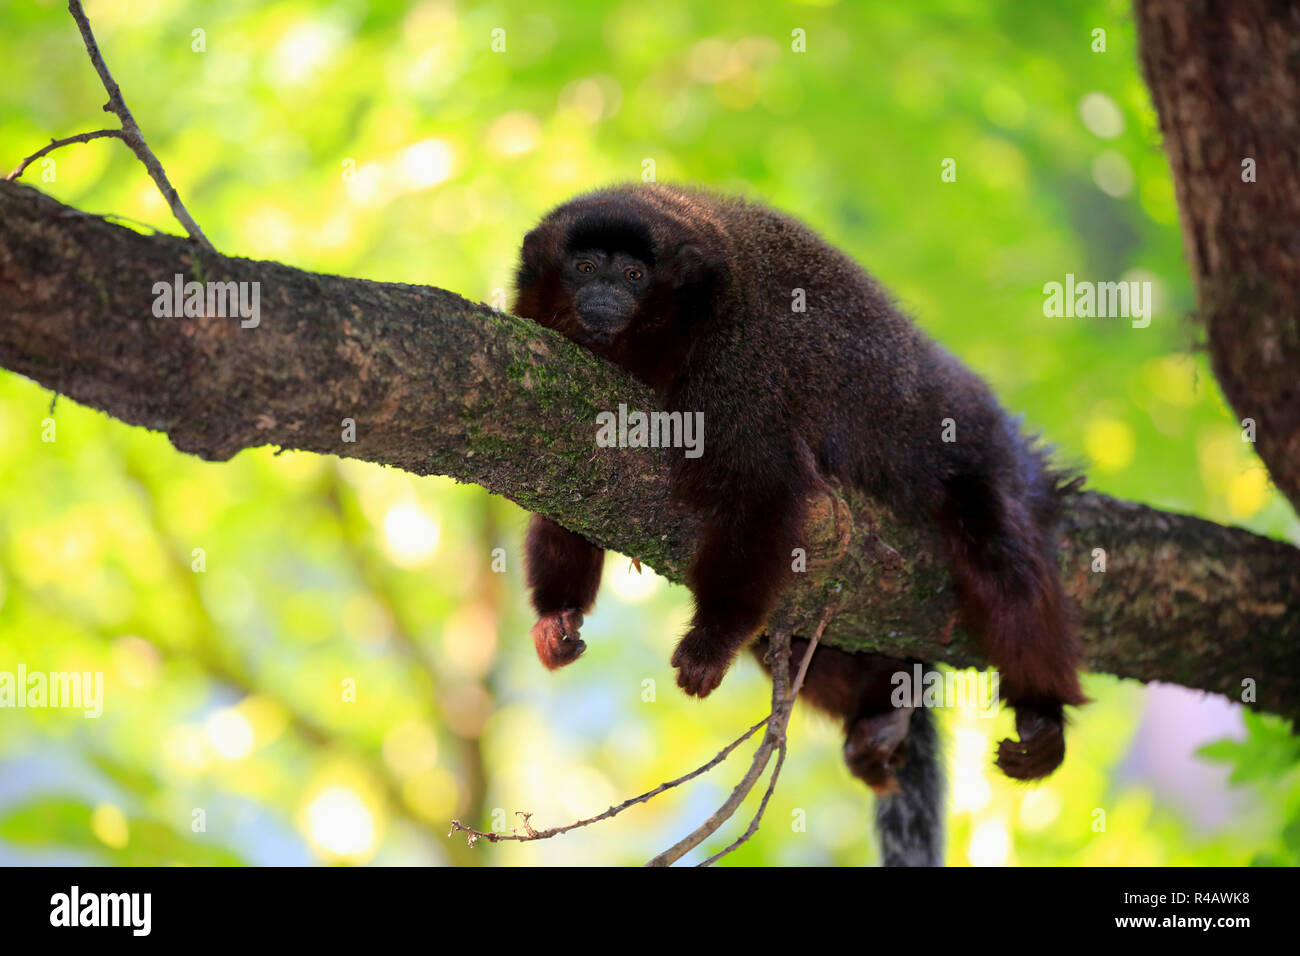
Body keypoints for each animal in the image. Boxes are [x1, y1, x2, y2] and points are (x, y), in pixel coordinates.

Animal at [511, 183, 1086, 865]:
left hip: (974, 441)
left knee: (1001, 555)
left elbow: (764, 492)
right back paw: (882, 714)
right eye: (584, 267)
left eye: (632, 275)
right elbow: (568, 498)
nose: (603, 295)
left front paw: (710, 641)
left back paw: (1042, 715)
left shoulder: (735, 368)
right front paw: (558, 615)